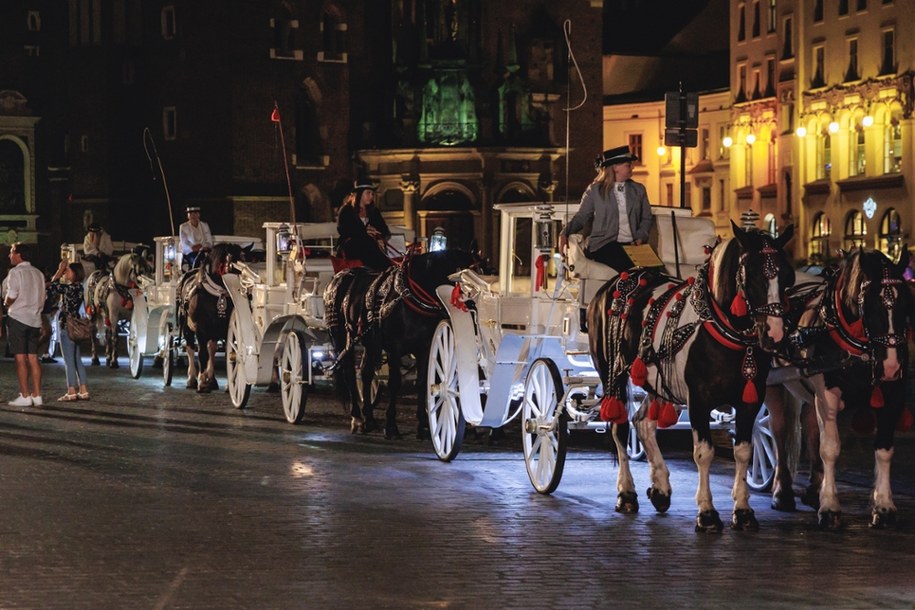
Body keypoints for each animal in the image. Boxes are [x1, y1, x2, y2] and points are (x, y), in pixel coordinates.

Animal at [174, 241, 247, 390]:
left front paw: (227, 385)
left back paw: (212, 379)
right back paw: (192, 379)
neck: (217, 295)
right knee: (190, 348)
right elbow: (202, 354)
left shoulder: (226, 327)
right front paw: (202, 382)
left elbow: (226, 354)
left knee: (212, 349)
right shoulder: (200, 328)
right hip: (187, 327)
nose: (244, 289)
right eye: (232, 263)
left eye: (244, 258)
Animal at [324, 247, 480, 436]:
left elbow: (422, 382)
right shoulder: (394, 348)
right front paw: (391, 425)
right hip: (343, 334)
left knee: (365, 373)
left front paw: (423, 425)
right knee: (349, 372)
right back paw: (357, 418)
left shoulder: (424, 348)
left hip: (369, 341)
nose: (475, 307)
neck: (412, 297)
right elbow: (395, 382)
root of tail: (340, 276)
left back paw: (369, 419)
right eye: (467, 277)